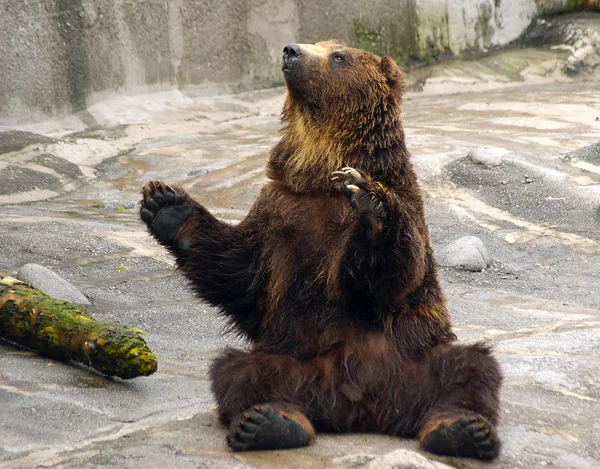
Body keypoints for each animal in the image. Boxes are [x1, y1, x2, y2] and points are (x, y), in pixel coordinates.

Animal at [139, 42, 502, 458]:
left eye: (338, 55)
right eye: (317, 44)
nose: (291, 50)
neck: (319, 173)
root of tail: (360, 408)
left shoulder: (406, 205)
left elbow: (392, 277)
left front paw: (370, 203)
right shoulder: (278, 214)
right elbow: (241, 275)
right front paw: (167, 205)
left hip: (413, 354)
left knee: (469, 367)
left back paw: (462, 428)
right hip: (297, 358)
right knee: (240, 371)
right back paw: (269, 422)